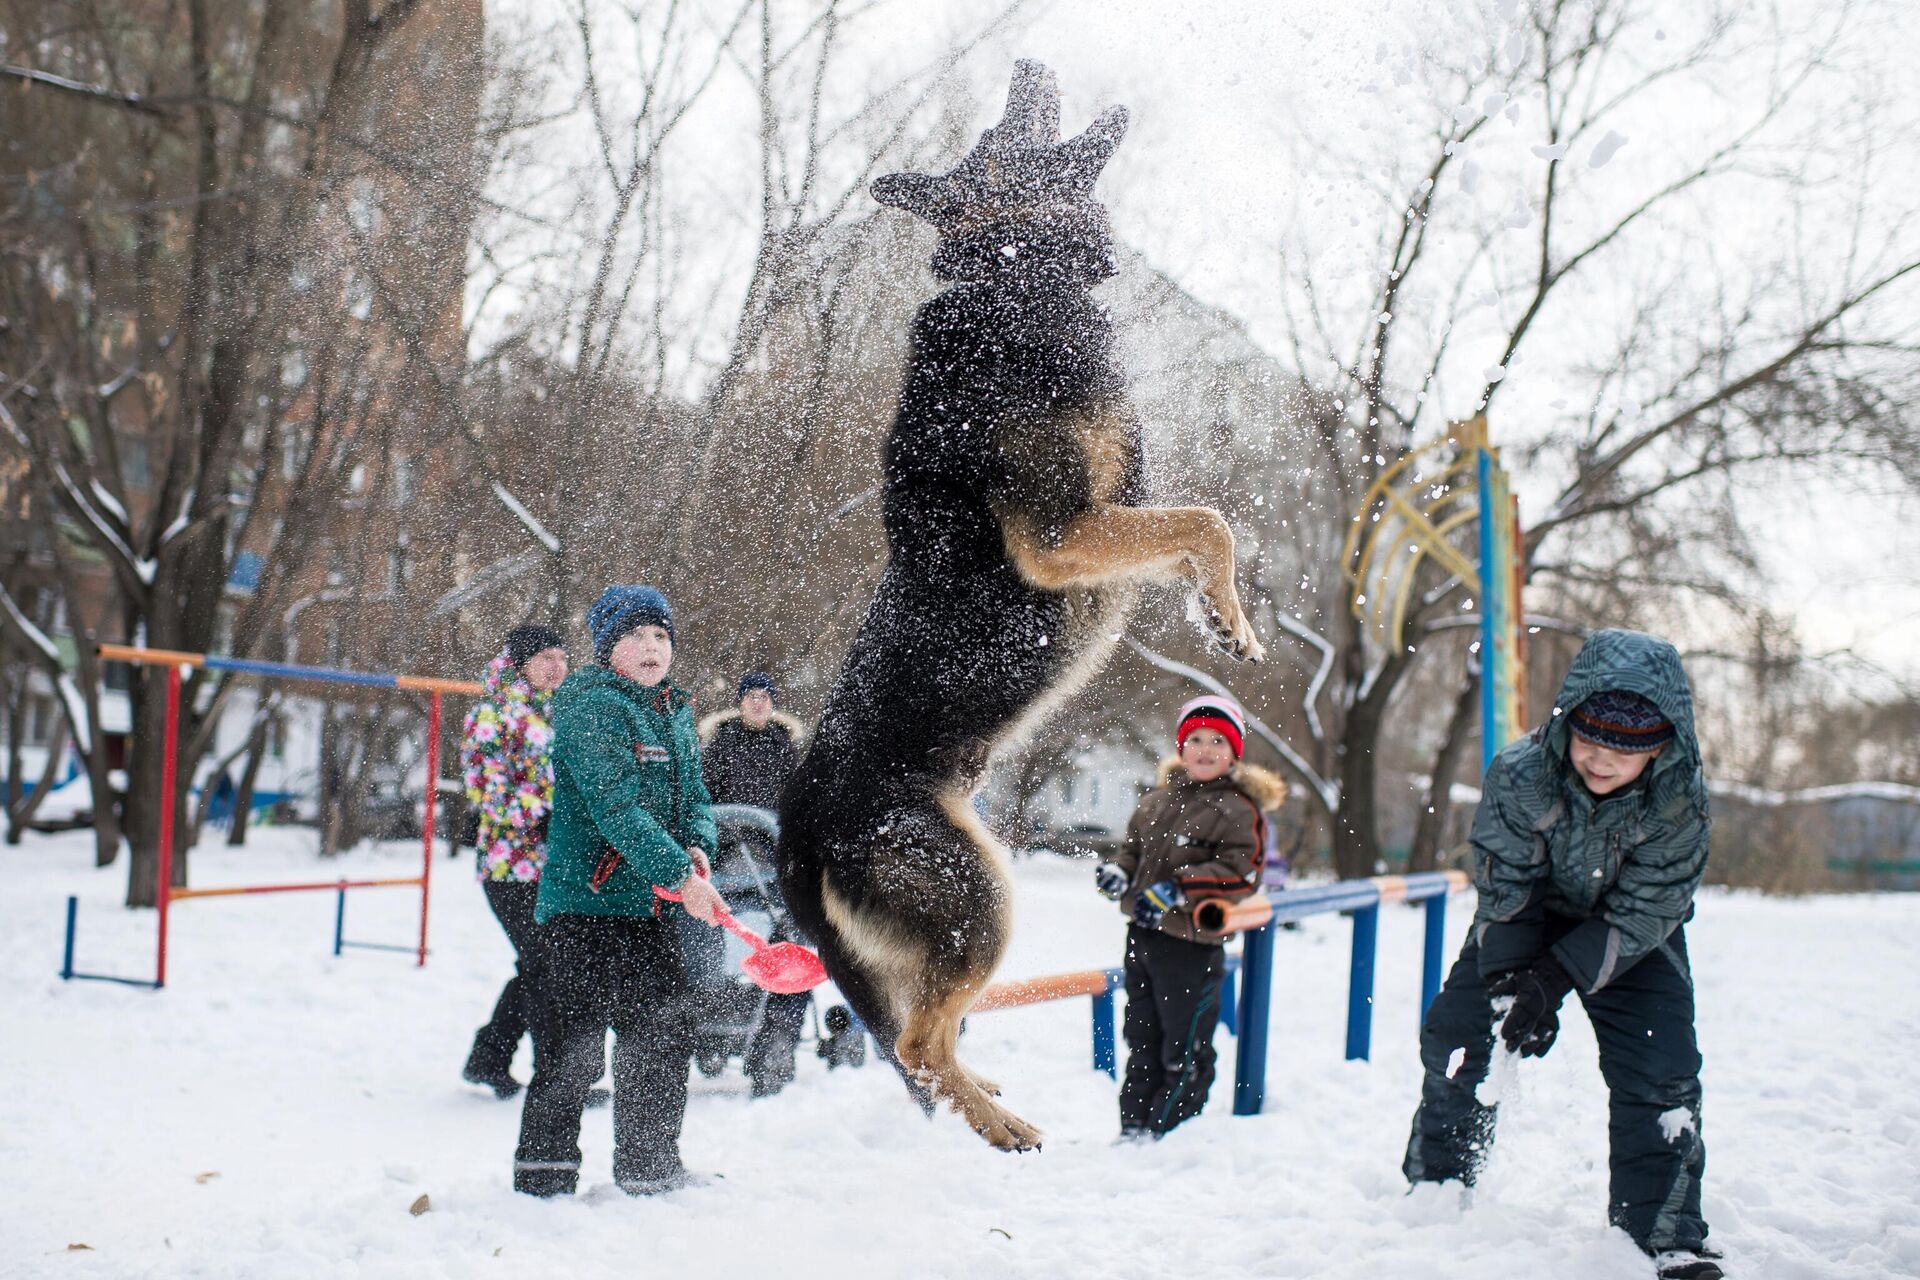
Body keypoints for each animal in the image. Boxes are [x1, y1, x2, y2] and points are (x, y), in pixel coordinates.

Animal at [775, 59, 1259, 1151]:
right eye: (1005, 132)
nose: (1030, 65)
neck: (1010, 277)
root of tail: (795, 827)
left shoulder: (1114, 519)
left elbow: (1193, 533)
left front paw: (1221, 617)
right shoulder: (1062, 535)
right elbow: (1208, 519)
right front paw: (1235, 615)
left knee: (927, 1032)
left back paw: (987, 1095)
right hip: (981, 897)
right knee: (917, 1042)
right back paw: (998, 1127)